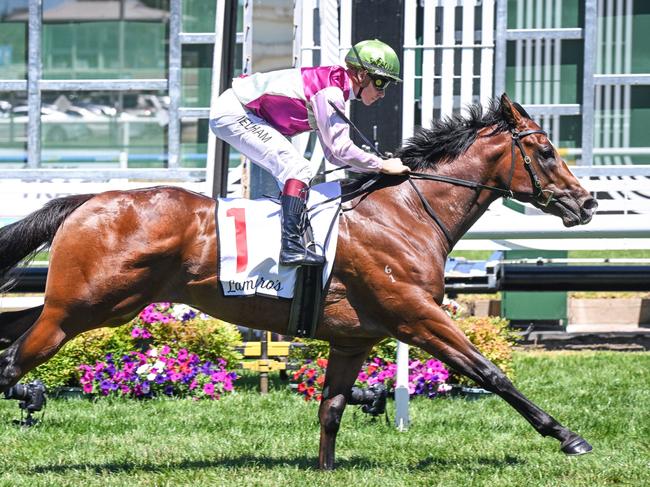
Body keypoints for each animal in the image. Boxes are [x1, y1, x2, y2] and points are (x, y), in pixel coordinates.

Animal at [0, 93, 596, 470]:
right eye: (546, 152)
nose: (586, 203)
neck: (404, 211)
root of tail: (87, 200)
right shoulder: (416, 316)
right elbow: (490, 373)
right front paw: (568, 437)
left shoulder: (355, 338)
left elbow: (331, 408)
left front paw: (328, 464)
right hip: (82, 308)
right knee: (12, 360)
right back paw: (26, 395)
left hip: (91, 306)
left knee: (11, 336)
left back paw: (31, 396)